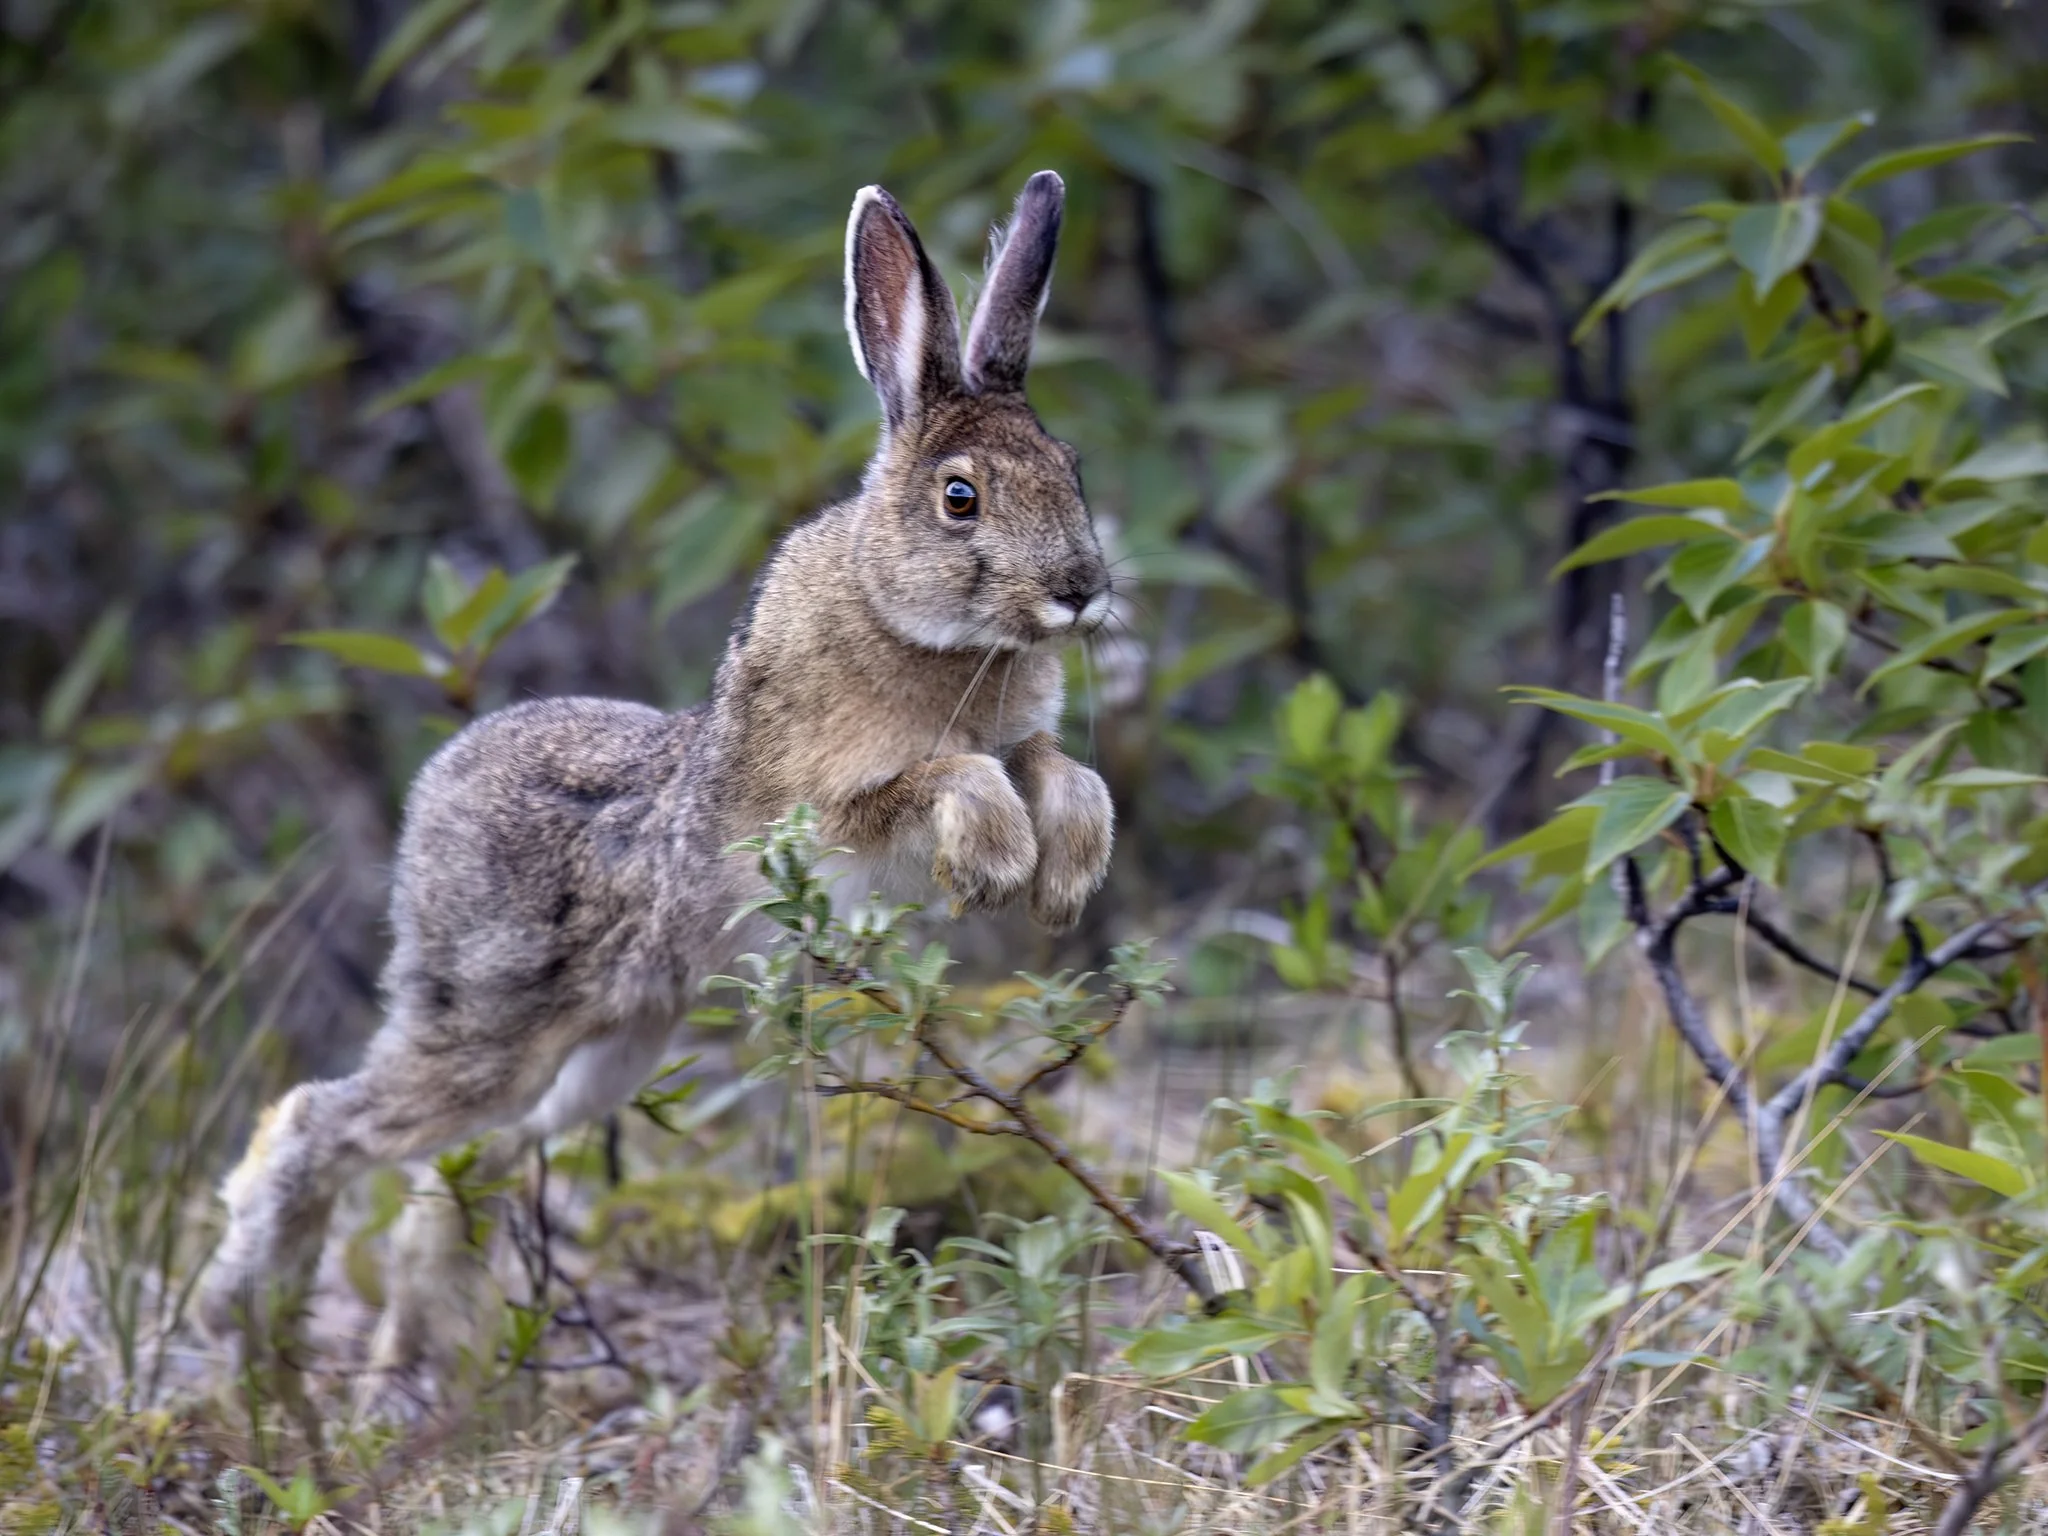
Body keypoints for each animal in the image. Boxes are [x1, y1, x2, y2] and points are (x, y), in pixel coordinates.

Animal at [195, 169, 1116, 1395]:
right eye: (959, 498)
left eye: (1071, 470)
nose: (1080, 589)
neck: (910, 621)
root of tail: (429, 797)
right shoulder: (828, 816)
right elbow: (953, 774)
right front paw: (1002, 861)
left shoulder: (1022, 742)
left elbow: (1063, 768)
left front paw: (1062, 882)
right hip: (492, 1028)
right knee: (323, 1122)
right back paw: (244, 1316)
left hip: (604, 1056)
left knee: (468, 1161)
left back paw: (422, 1350)